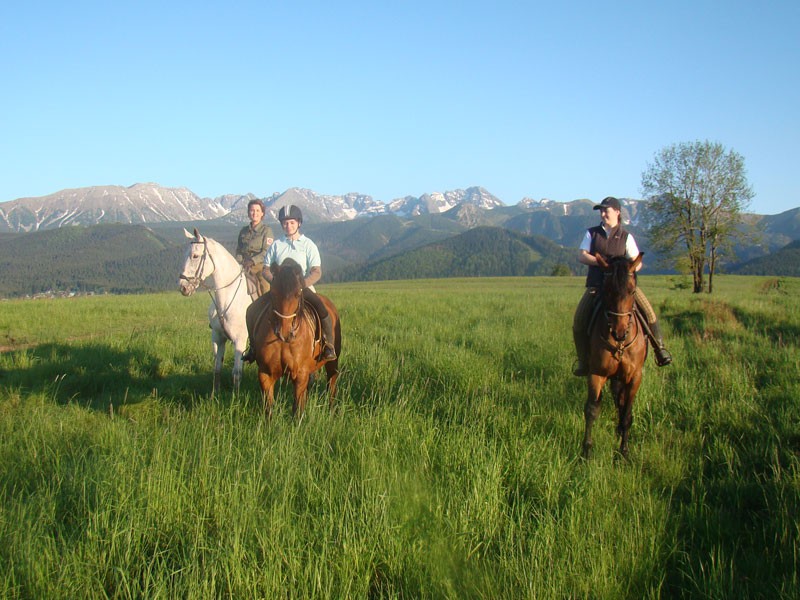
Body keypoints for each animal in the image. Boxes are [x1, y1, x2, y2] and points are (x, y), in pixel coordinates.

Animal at [178, 228, 251, 396]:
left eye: (195, 255)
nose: (183, 287)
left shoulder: (240, 339)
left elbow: (236, 372)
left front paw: (236, 397)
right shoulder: (218, 338)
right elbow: (217, 368)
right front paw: (214, 395)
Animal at [246, 258, 341, 418]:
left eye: (297, 294)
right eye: (273, 293)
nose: (284, 332)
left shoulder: (300, 374)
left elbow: (297, 410)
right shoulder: (265, 373)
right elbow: (269, 408)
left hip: (332, 363)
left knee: (331, 385)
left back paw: (332, 412)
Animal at [581, 253, 648, 459]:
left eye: (632, 291)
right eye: (607, 290)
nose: (619, 332)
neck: (619, 345)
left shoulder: (635, 377)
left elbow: (626, 413)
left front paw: (624, 451)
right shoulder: (597, 373)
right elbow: (592, 410)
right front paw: (586, 450)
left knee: (622, 402)